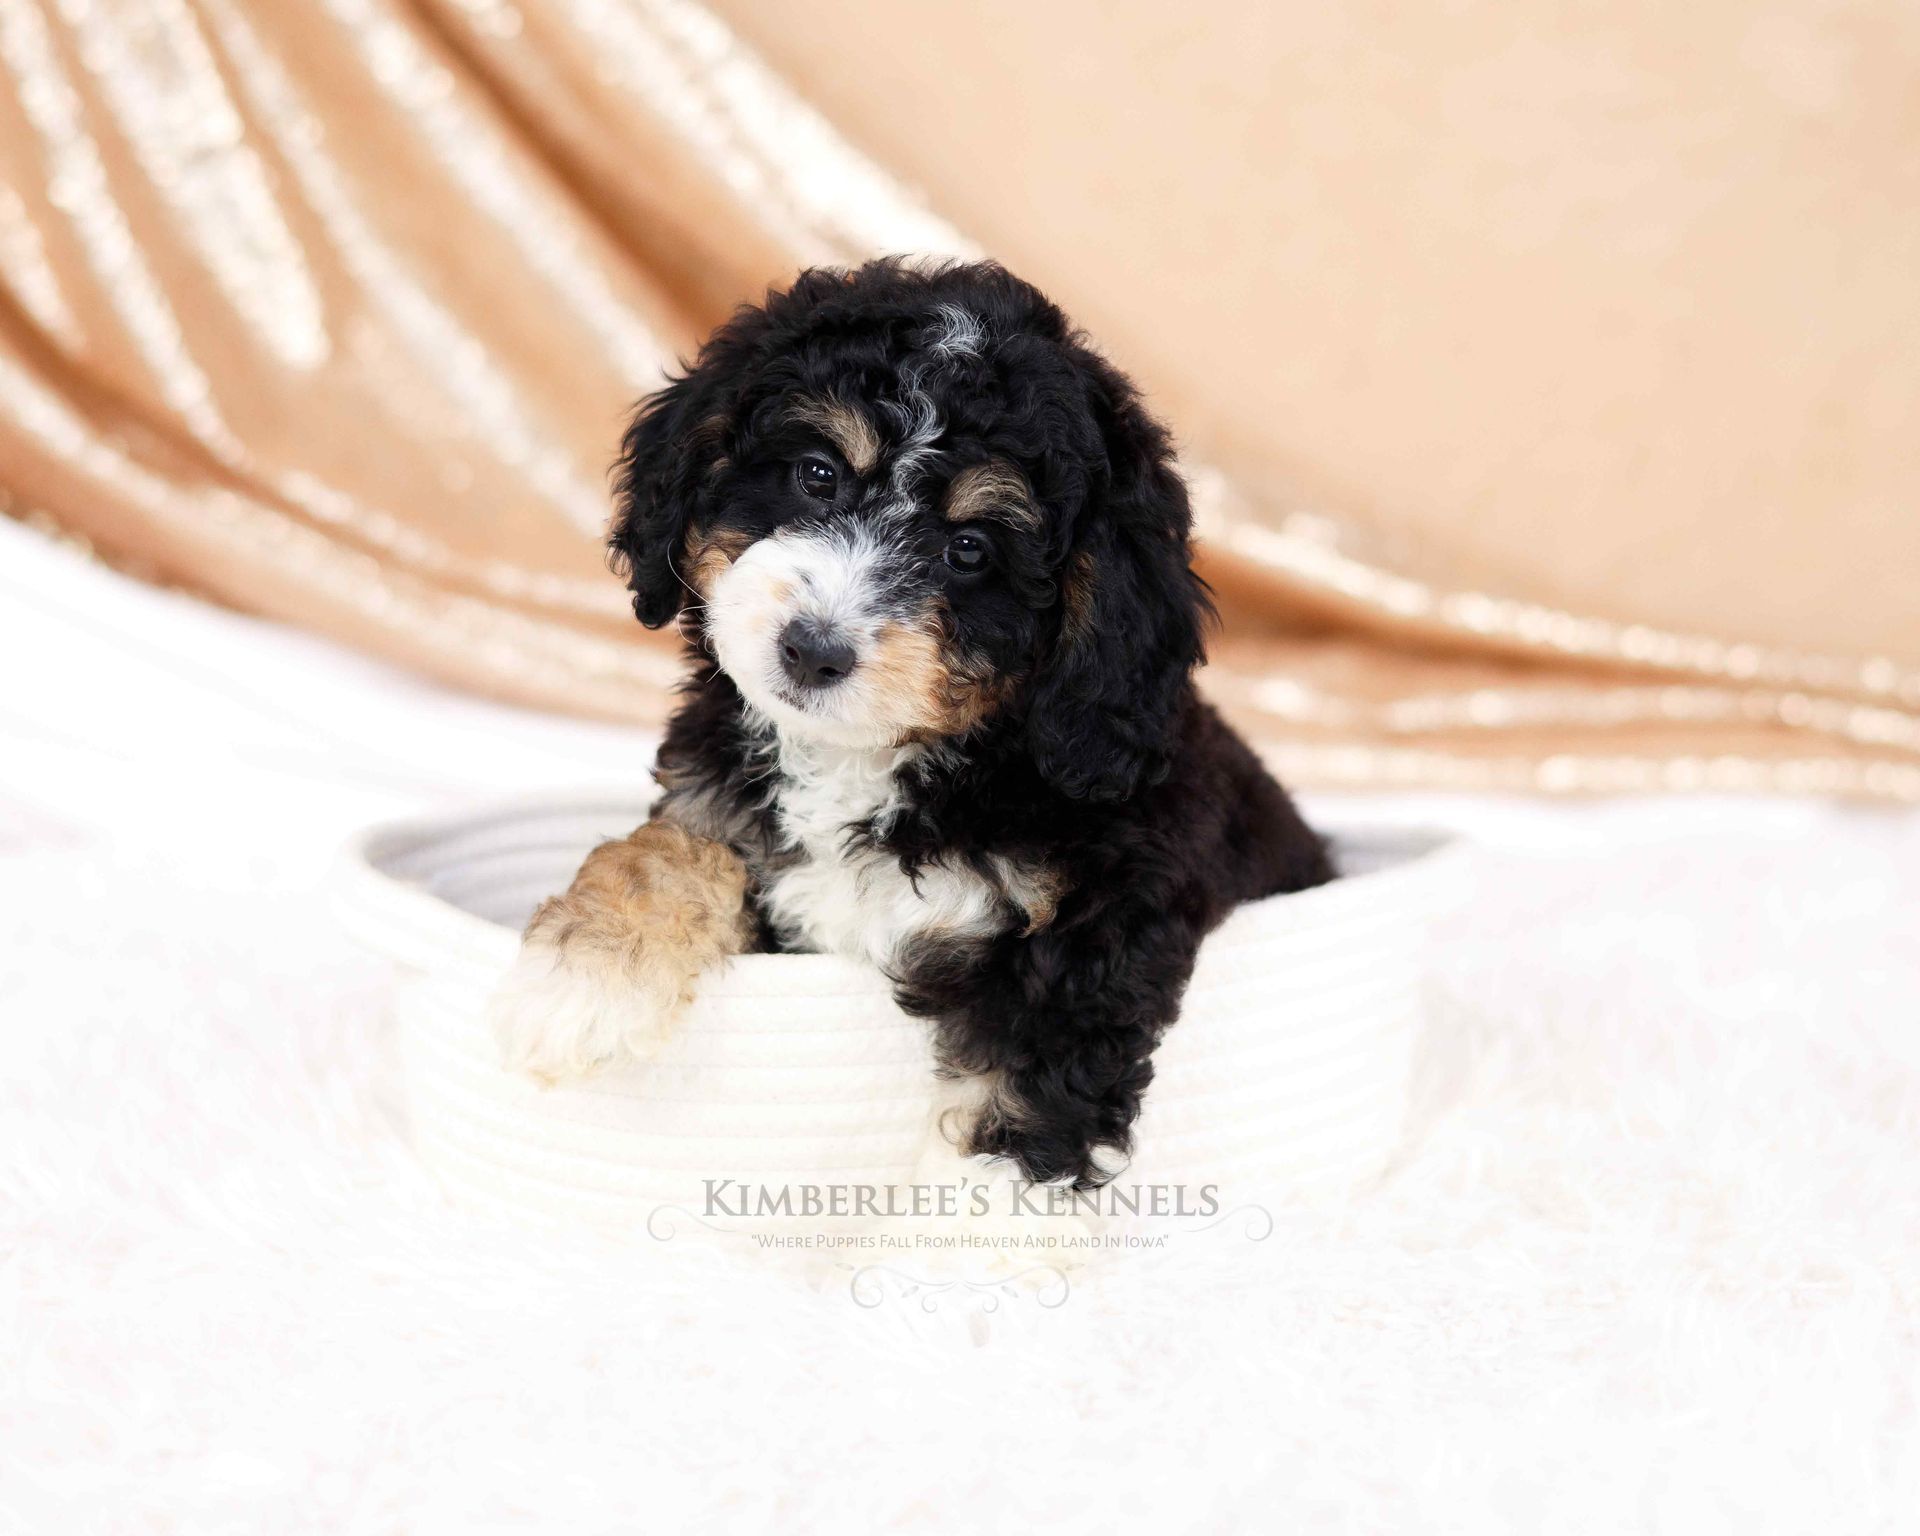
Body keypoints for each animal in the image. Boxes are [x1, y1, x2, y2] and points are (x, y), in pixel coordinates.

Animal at [491, 259, 1334, 1189]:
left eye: (969, 549)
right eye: (817, 475)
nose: (811, 650)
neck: (883, 764)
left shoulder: (1102, 922)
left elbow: (1026, 1101)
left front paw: (961, 1225)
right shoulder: (728, 823)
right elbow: (669, 848)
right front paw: (582, 980)